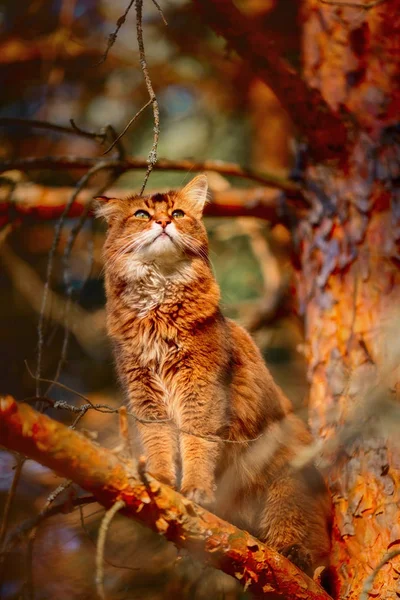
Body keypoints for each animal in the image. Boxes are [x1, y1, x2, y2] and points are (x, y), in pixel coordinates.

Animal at [96, 175, 332, 576]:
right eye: (142, 214)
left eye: (178, 213)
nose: (163, 222)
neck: (158, 308)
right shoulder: (146, 394)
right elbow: (159, 443)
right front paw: (158, 483)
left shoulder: (200, 389)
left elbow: (197, 444)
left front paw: (196, 489)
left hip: (285, 485)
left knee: (305, 544)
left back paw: (293, 555)